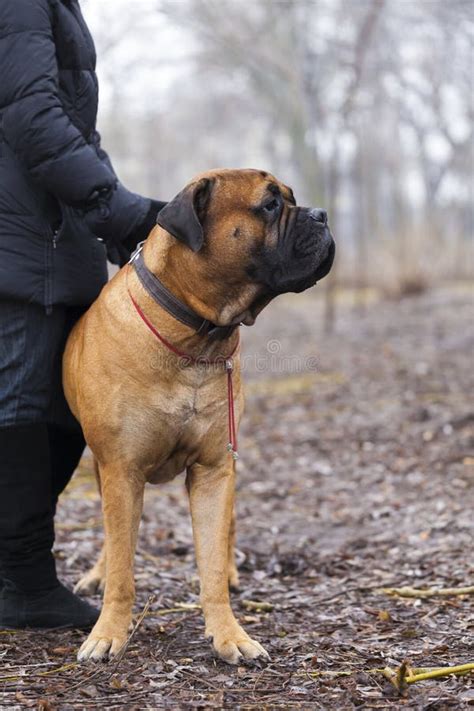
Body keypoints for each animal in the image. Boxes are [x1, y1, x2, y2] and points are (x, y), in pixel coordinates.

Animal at [63, 168, 336, 668]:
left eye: (291, 198)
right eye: (270, 204)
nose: (322, 214)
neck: (197, 331)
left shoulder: (213, 469)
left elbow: (209, 558)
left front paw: (229, 634)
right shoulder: (121, 469)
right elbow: (123, 565)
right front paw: (108, 633)